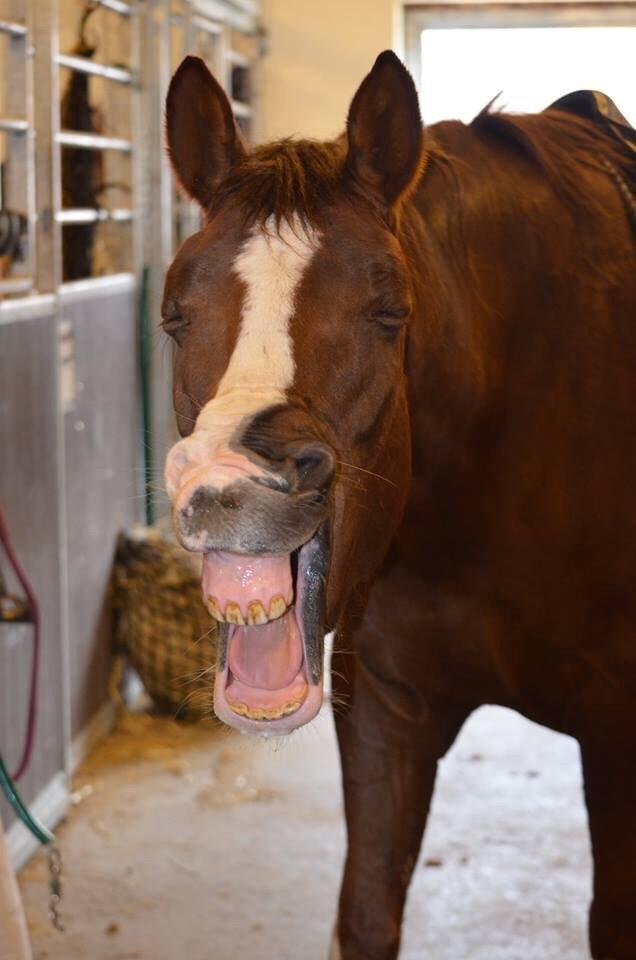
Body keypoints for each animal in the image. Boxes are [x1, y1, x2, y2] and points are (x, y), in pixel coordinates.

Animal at [161, 50, 632, 960]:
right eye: (172, 317)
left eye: (389, 312)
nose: (229, 487)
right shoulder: (385, 713)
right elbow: (367, 916)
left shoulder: (621, 746)